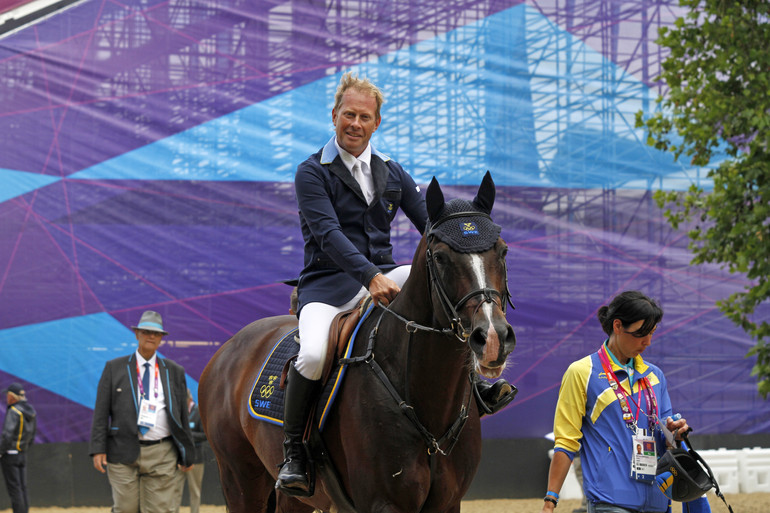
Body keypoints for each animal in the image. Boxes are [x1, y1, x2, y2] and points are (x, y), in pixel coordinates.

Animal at [198, 173, 516, 512]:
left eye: (503, 251)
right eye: (441, 257)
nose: (493, 338)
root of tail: (226, 350)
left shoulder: (448, 502)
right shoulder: (382, 503)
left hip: (293, 496)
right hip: (240, 479)